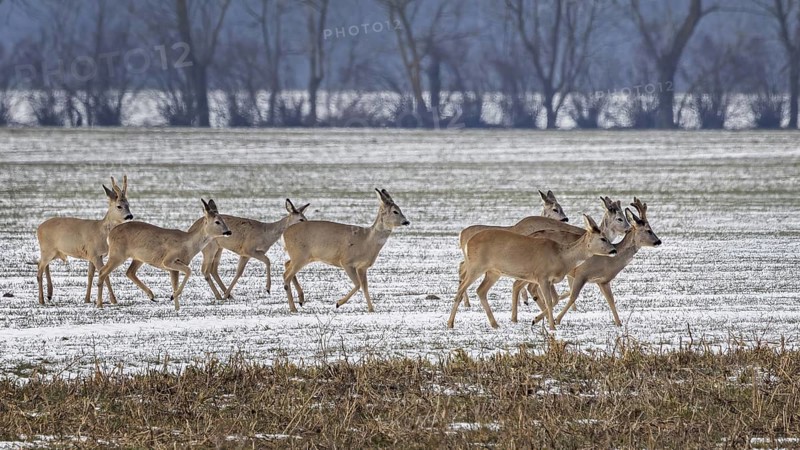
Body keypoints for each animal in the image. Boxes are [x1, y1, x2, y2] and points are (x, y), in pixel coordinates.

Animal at [36, 176, 133, 305]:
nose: (129, 216)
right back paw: (41, 299)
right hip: (47, 248)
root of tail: (38, 228)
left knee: (42, 264)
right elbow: (105, 275)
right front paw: (113, 300)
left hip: (54, 251)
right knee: (39, 269)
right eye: (119, 206)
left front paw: (87, 299)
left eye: (128, 204)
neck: (101, 232)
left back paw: (49, 294)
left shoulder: (94, 255)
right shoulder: (95, 254)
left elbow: (90, 275)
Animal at [95, 199, 231, 311]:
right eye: (217, 222)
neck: (188, 244)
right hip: (117, 254)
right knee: (103, 271)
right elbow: (189, 271)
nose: (228, 231)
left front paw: (176, 306)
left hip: (138, 258)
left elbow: (175, 284)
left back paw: (151, 296)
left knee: (129, 272)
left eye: (223, 220)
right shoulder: (168, 260)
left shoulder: (173, 268)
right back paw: (99, 305)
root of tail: (110, 234)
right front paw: (173, 297)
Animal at [281, 189, 410, 313]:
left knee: (286, 265)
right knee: (286, 276)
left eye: (400, 209)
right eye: (395, 211)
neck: (367, 242)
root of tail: (285, 233)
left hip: (302, 256)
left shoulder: (362, 267)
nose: (407, 222)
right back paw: (293, 308)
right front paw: (338, 303)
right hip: (300, 255)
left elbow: (365, 287)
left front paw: (371, 309)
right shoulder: (346, 261)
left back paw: (301, 300)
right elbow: (358, 284)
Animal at [448, 214, 616, 330]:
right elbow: (549, 301)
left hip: (493, 272)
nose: (614, 250)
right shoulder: (542, 276)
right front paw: (551, 326)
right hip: (476, 265)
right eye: (603, 238)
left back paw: (495, 324)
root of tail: (468, 241)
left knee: (481, 290)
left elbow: (552, 300)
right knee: (461, 289)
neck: (560, 256)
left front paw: (540, 321)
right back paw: (450, 323)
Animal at [530, 198, 662, 327]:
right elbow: (573, 297)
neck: (608, 261)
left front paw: (619, 323)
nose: (659, 241)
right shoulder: (581, 273)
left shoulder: (603, 281)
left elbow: (611, 300)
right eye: (648, 230)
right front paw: (556, 319)